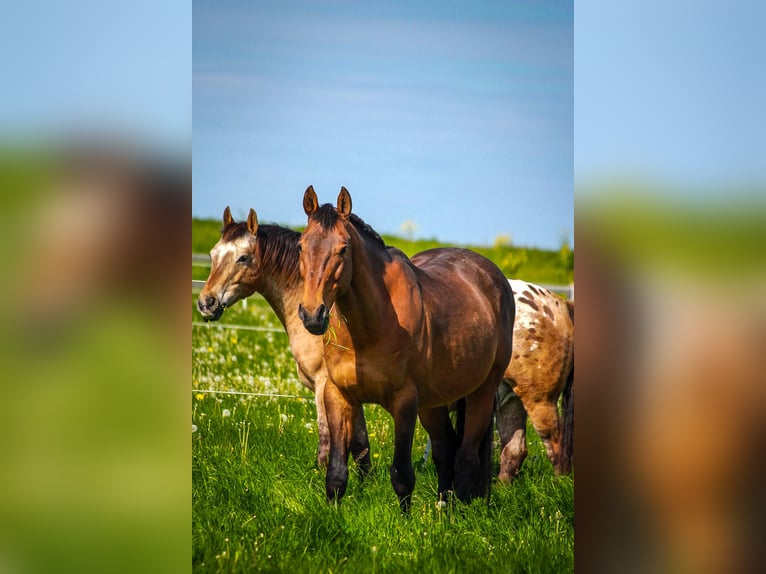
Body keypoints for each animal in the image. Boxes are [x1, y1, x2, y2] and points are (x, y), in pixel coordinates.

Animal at [196, 207, 374, 472]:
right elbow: (361, 443)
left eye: (243, 258)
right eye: (212, 254)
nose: (206, 303)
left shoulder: (324, 383)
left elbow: (327, 439)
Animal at [298, 187, 516, 510]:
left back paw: (459, 516)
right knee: (445, 451)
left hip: (482, 391)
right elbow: (336, 474)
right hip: (433, 402)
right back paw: (443, 511)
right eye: (301, 246)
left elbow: (402, 474)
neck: (369, 327)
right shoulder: (338, 395)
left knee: (466, 458)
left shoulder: (404, 402)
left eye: (343, 249)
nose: (312, 315)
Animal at [492, 282, 576, 484]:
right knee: (514, 450)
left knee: (557, 445)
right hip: (510, 399)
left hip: (539, 400)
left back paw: (559, 485)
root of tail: (561, 304)